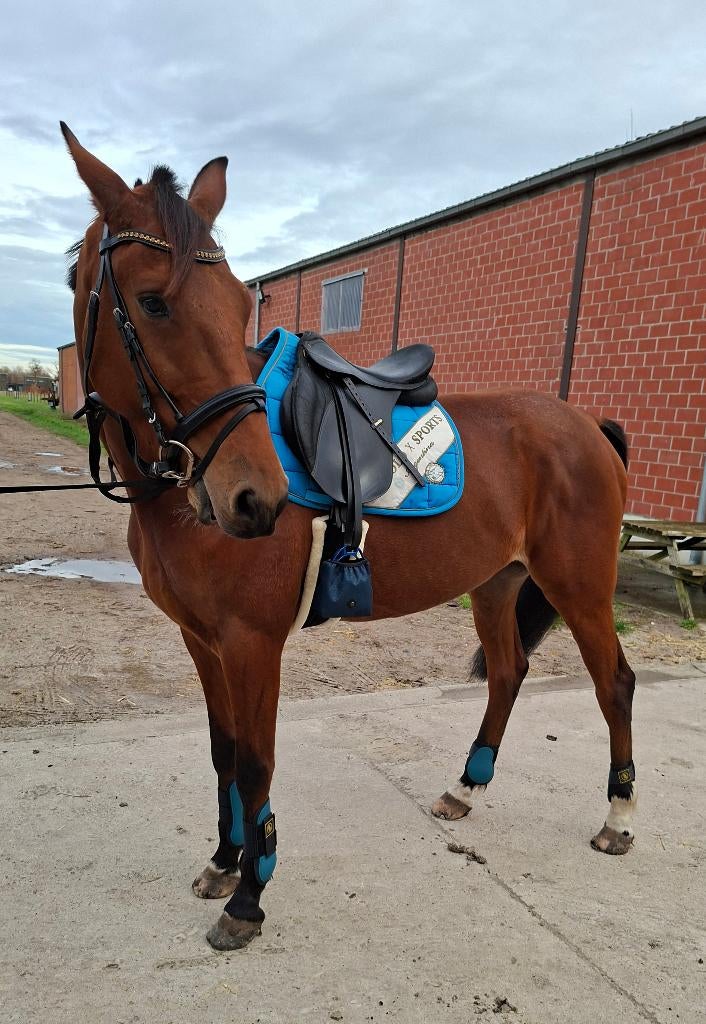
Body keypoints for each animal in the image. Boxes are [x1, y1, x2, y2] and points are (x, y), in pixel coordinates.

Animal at [61, 124, 637, 952]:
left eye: (237, 303)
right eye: (153, 300)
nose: (255, 499)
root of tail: (588, 422)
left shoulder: (252, 643)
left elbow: (256, 764)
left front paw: (250, 897)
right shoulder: (201, 640)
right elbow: (223, 752)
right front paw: (224, 862)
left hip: (581, 587)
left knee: (613, 683)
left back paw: (617, 817)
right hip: (497, 584)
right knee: (507, 673)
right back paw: (464, 788)